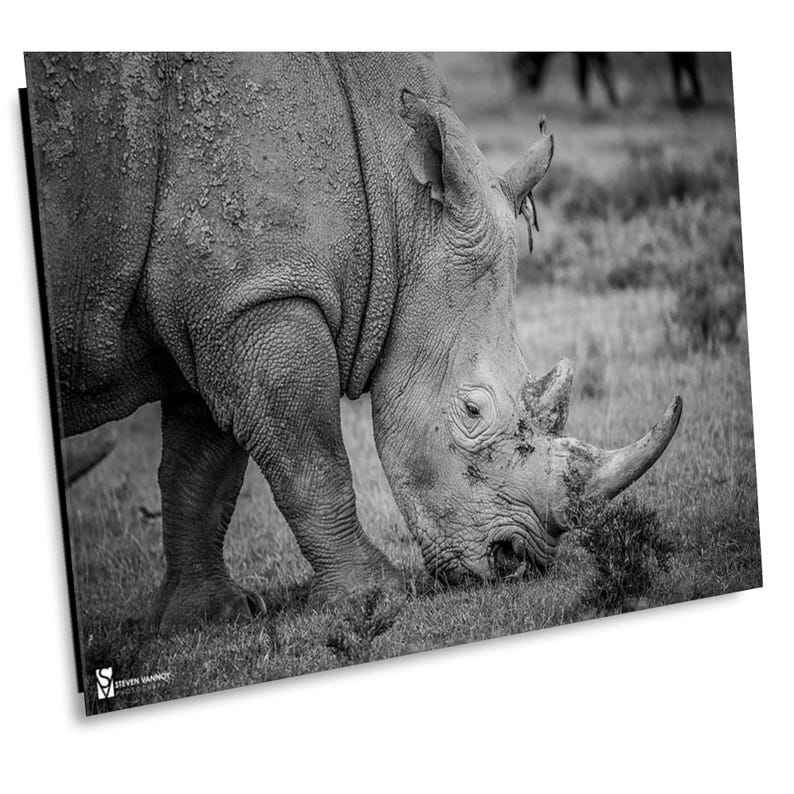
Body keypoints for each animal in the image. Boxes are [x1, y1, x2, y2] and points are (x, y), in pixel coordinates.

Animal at [25, 53, 681, 630]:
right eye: (472, 411)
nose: (516, 562)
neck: (400, 213)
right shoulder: (263, 298)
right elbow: (312, 459)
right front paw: (374, 596)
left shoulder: (222, 305)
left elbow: (198, 473)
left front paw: (205, 619)